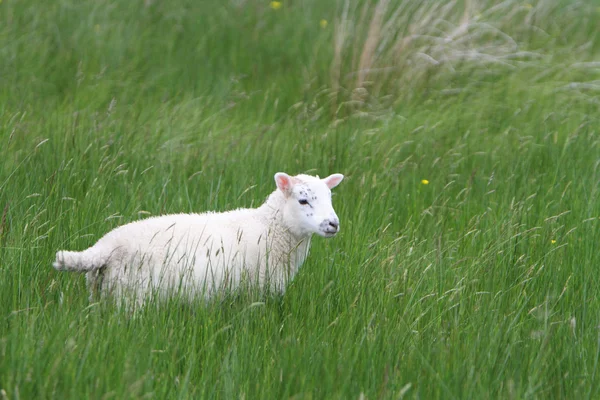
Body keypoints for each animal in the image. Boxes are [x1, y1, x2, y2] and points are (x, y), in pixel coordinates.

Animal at [54, 170, 344, 304]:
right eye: (303, 200)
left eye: (330, 198)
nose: (333, 224)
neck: (269, 229)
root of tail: (104, 247)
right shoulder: (255, 293)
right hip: (132, 299)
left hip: (101, 295)